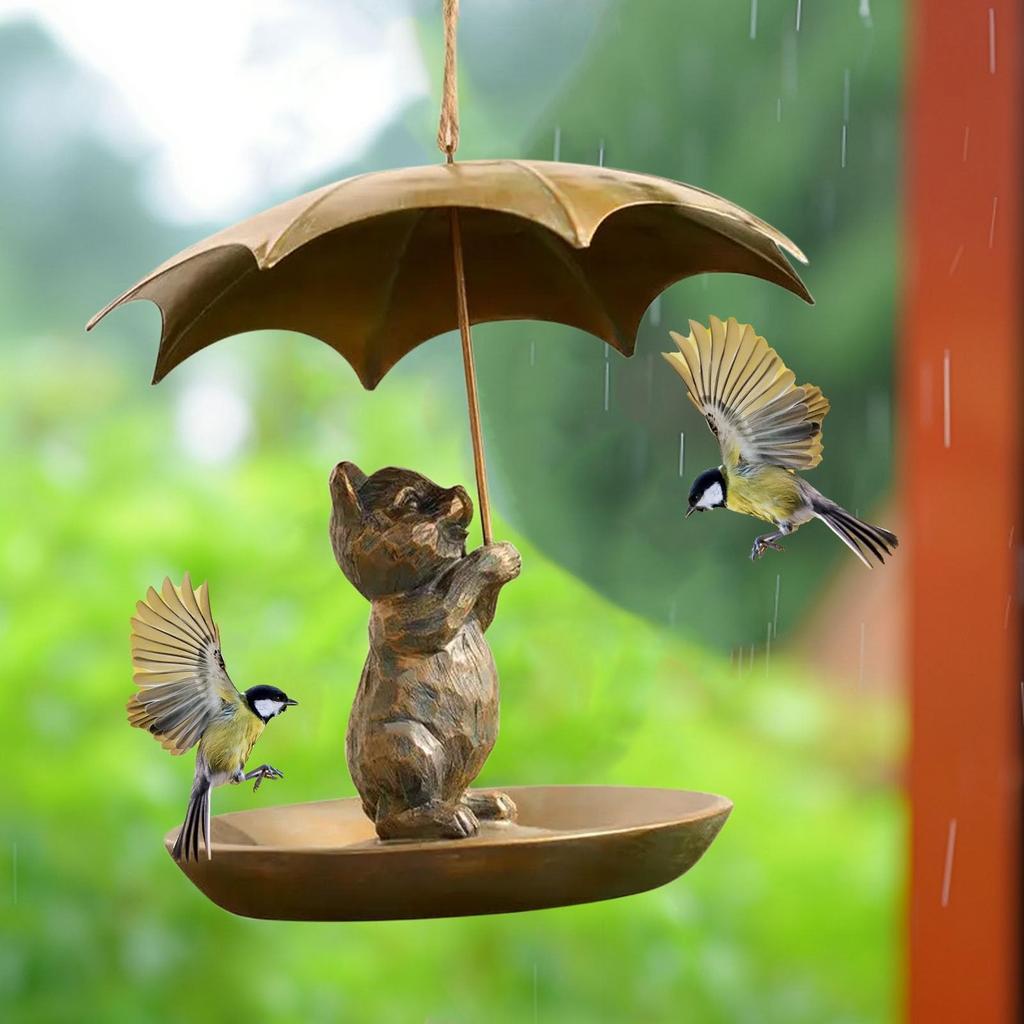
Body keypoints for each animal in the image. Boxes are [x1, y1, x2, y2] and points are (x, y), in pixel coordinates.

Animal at [329, 461, 521, 840]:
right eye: (412, 502)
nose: (460, 489)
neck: (417, 584)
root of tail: (368, 803)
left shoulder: (475, 617)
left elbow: (483, 612)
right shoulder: (408, 622)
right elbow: (454, 596)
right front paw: (496, 556)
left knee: (453, 793)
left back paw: (487, 804)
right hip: (411, 748)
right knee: (392, 821)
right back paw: (451, 820)